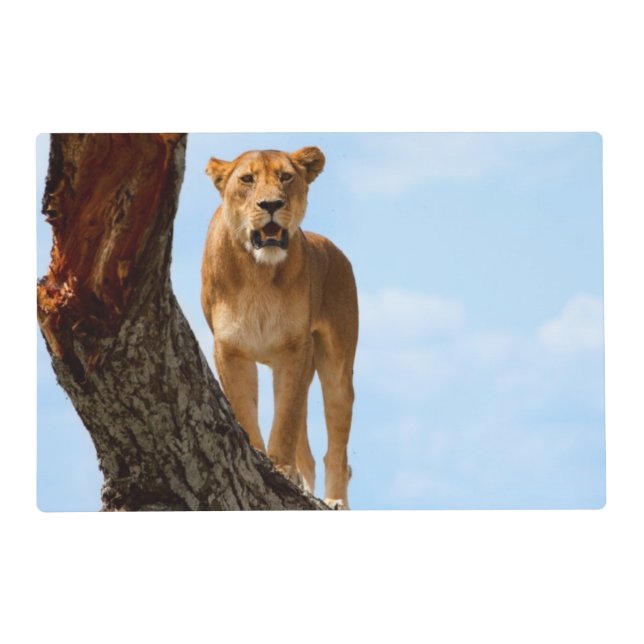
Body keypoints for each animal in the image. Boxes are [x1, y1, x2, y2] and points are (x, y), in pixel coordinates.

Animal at [200, 146, 358, 509]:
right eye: (247, 179)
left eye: (286, 177)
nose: (271, 204)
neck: (258, 272)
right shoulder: (230, 350)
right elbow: (245, 410)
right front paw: (260, 458)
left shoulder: (295, 349)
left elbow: (285, 421)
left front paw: (281, 470)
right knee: (310, 455)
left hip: (336, 367)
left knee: (337, 452)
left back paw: (334, 501)